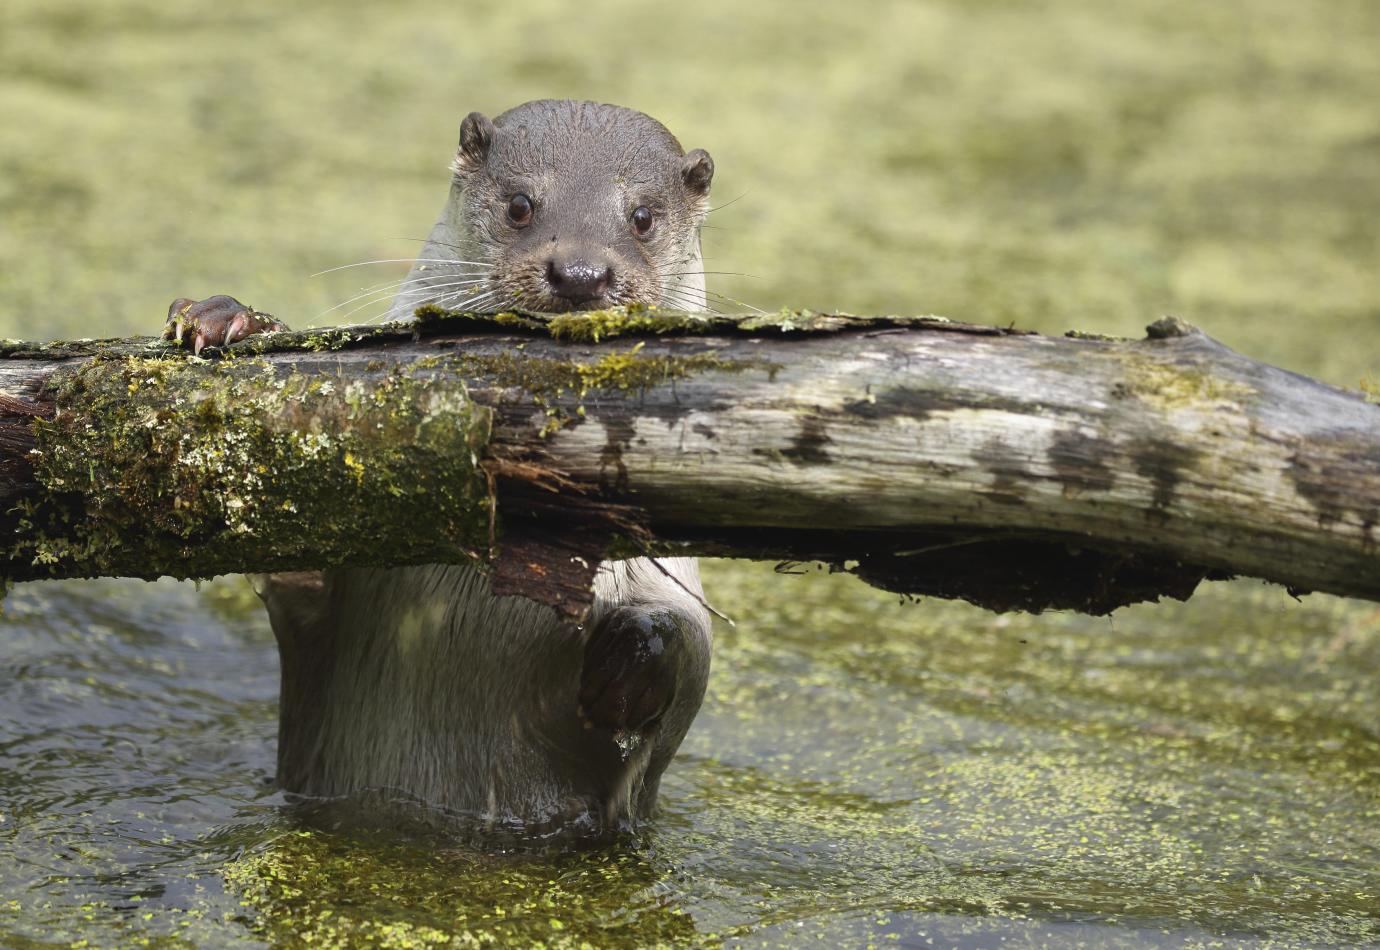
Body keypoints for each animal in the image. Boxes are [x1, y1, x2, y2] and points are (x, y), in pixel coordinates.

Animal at [163, 100, 716, 836]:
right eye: (520, 205)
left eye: (643, 217)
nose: (580, 275)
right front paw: (230, 319)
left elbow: (684, 674)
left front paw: (635, 653)